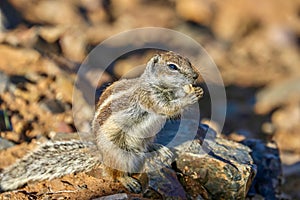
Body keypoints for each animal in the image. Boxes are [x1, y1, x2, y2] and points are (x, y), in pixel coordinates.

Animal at [0, 51, 204, 194]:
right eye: (172, 67)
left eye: (189, 61)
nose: (195, 77)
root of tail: (100, 154)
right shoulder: (148, 98)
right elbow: (167, 108)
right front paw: (190, 96)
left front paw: (193, 91)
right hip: (120, 153)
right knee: (114, 173)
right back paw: (129, 181)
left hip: (146, 139)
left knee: (145, 148)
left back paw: (159, 149)